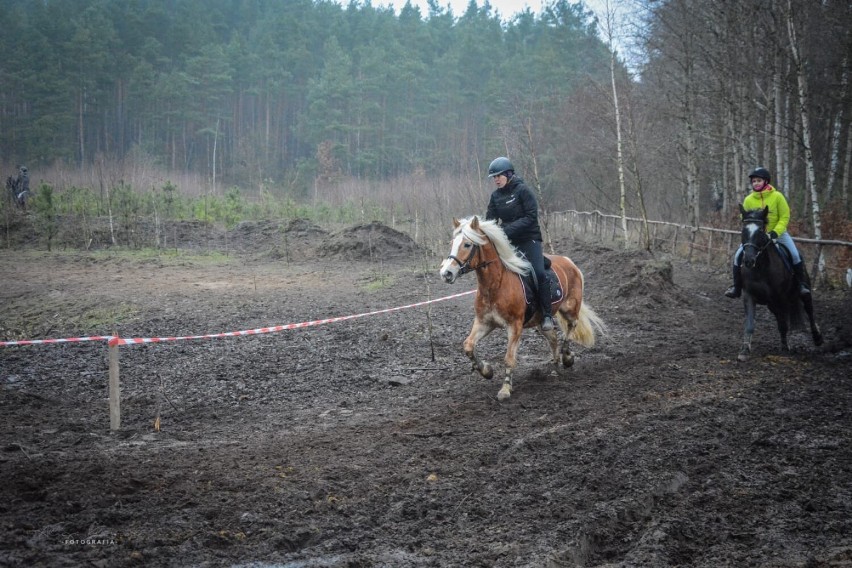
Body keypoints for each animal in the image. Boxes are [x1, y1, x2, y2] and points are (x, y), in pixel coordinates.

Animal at [440, 215, 604, 402]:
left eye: (467, 244)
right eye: (452, 242)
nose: (446, 274)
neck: (496, 285)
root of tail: (569, 261)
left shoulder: (515, 326)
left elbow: (509, 358)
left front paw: (505, 389)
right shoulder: (484, 323)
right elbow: (468, 345)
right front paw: (486, 370)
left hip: (569, 308)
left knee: (571, 326)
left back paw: (568, 357)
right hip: (541, 322)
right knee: (553, 338)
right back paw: (555, 369)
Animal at [736, 206, 824, 362]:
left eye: (760, 231)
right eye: (743, 230)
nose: (748, 261)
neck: (760, 268)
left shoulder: (781, 298)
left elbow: (783, 324)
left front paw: (785, 348)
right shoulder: (749, 295)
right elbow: (750, 324)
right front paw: (745, 350)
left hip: (802, 293)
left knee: (810, 311)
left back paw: (817, 338)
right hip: (772, 304)